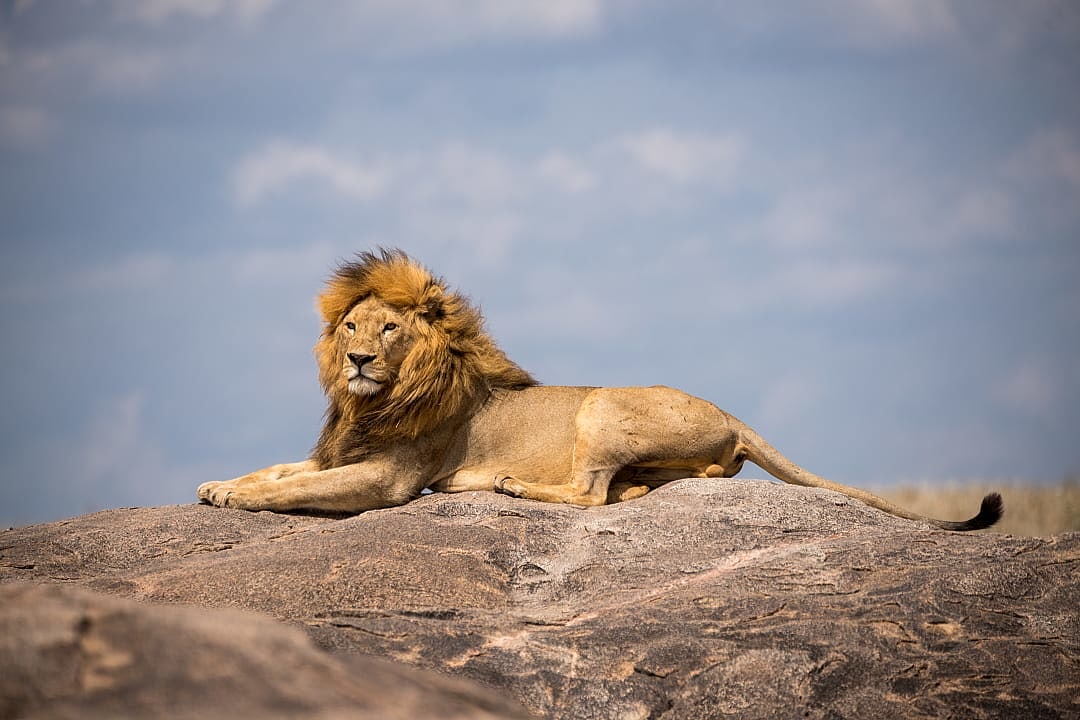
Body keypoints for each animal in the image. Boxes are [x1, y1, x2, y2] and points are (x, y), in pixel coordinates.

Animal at [198, 249, 1003, 531]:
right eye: (350, 326)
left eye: (390, 329)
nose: (358, 359)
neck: (375, 400)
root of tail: (733, 412)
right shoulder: (337, 451)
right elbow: (280, 469)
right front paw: (219, 484)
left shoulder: (391, 477)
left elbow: (297, 488)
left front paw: (238, 499)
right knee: (630, 490)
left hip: (603, 405)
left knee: (589, 494)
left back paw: (508, 486)